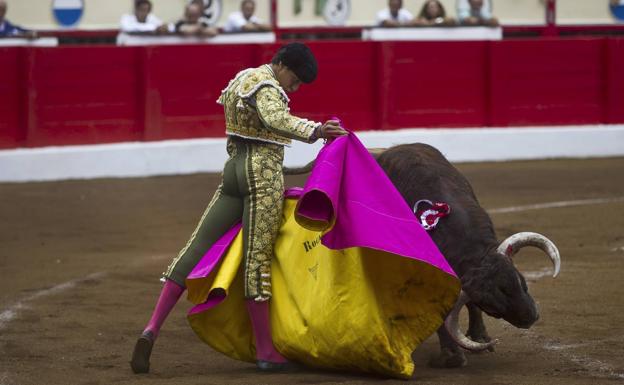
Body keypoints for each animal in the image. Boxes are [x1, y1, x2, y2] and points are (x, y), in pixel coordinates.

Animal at [286, 142, 560, 368]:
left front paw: (481, 339)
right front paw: (450, 357)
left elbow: (468, 306)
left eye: (522, 283)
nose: (530, 317)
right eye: (492, 307)